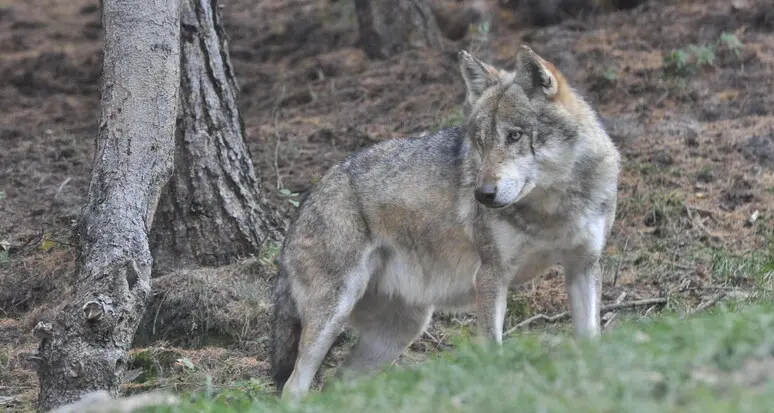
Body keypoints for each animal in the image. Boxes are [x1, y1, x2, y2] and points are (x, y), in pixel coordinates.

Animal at [269, 45, 621, 401]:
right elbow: (493, 351)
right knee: (294, 386)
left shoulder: (583, 266)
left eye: (514, 136)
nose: (483, 194)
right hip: (335, 315)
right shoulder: (491, 277)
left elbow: (591, 340)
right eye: (480, 142)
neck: (551, 209)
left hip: (401, 329)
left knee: (338, 384)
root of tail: (305, 202)